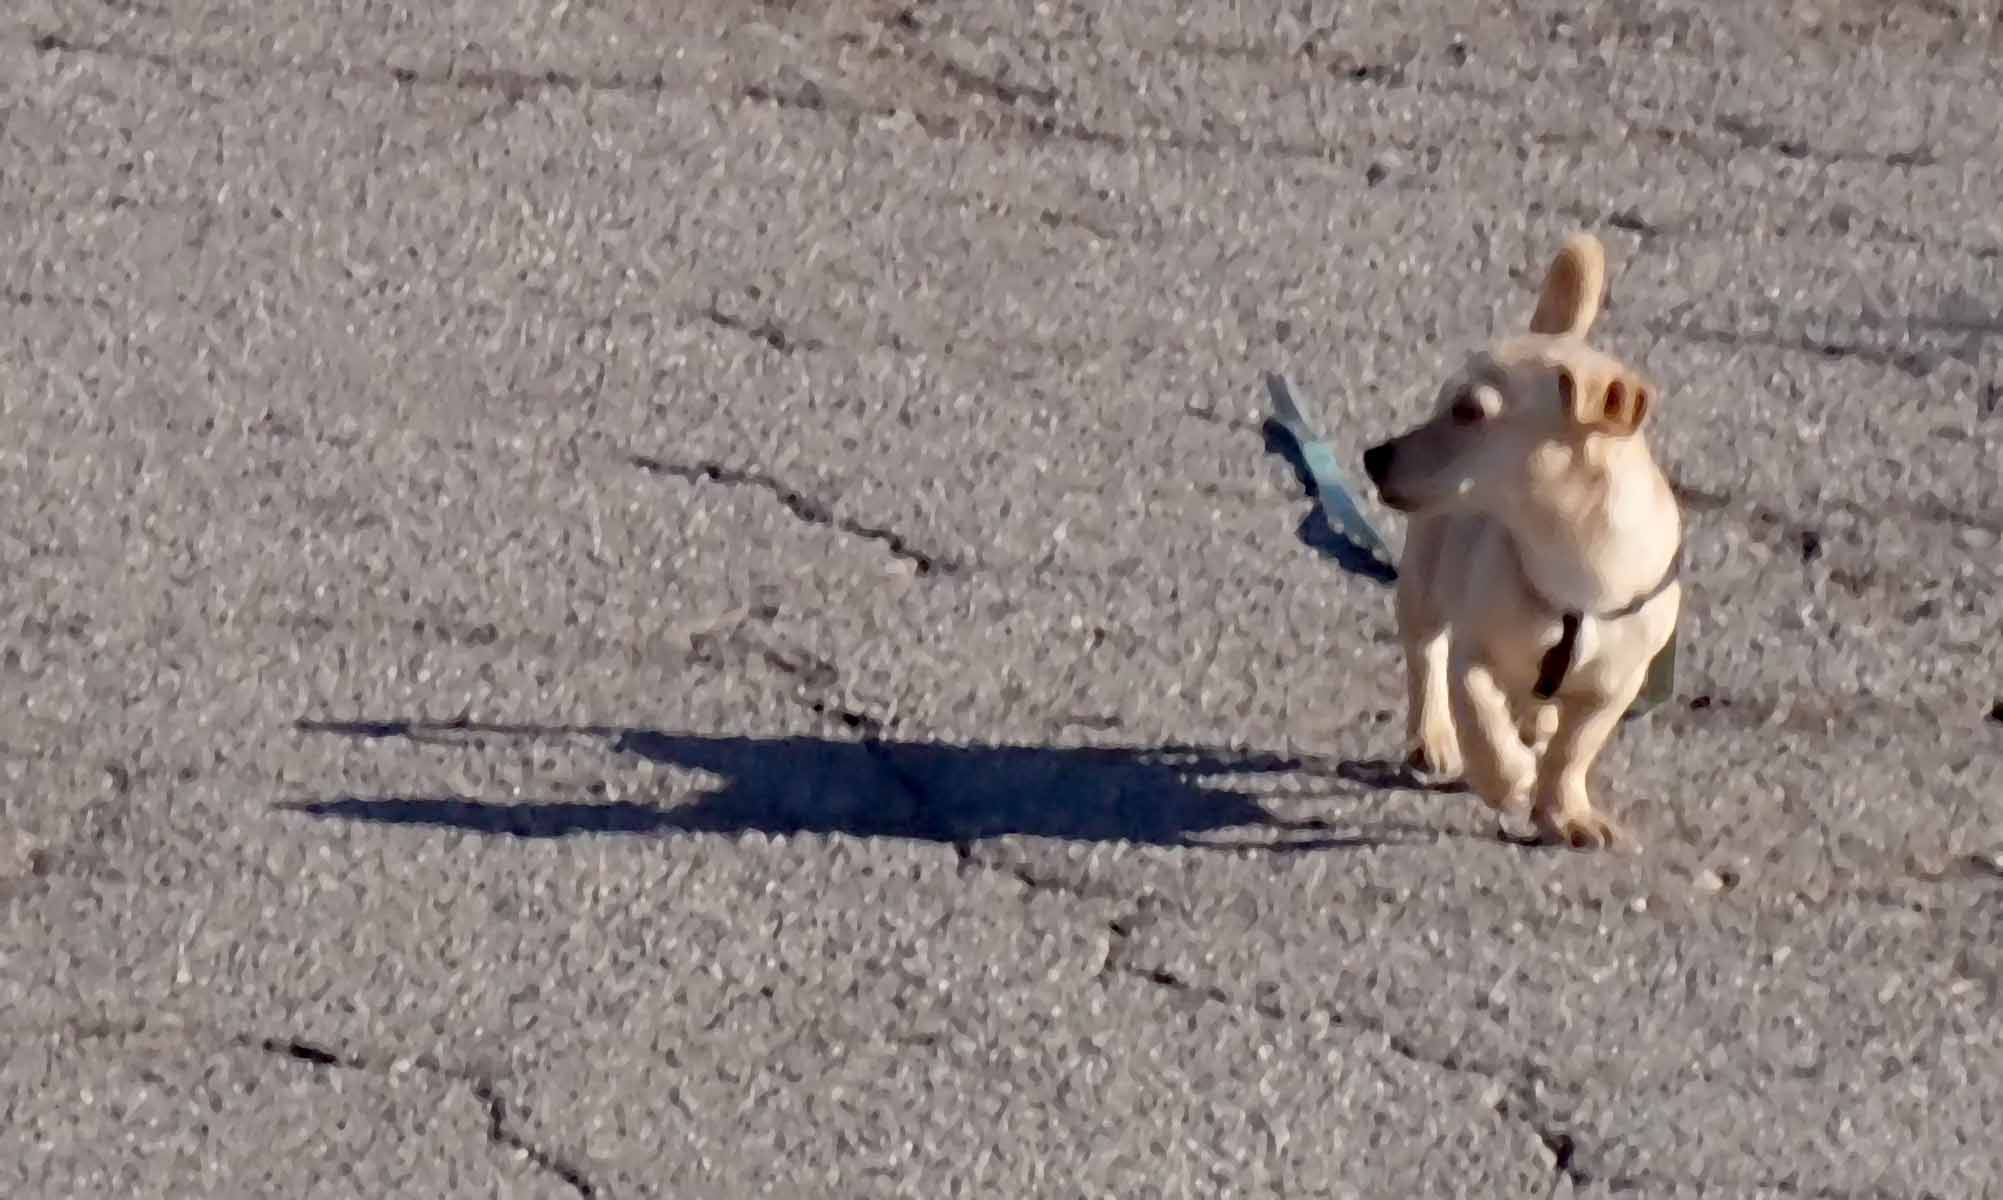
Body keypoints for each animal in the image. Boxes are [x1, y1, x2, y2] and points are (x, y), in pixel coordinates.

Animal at [1361, 231, 1682, 851]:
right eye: (1447, 403)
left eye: (1469, 412)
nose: (1373, 457)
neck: (1569, 553)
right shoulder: (1473, 656)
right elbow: (1481, 718)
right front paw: (1509, 780)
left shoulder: (1614, 688)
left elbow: (1574, 751)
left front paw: (1566, 812)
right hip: (1424, 581)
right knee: (1425, 656)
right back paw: (1434, 738)